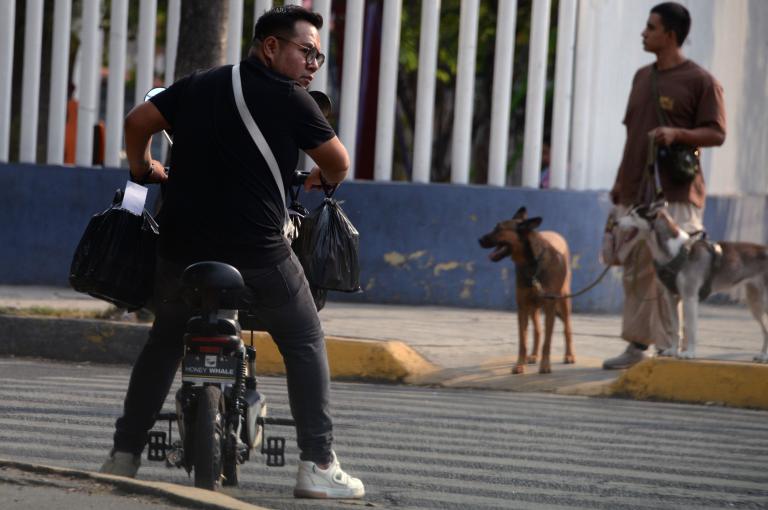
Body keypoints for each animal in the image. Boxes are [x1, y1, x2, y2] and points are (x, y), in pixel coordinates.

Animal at [476, 207, 572, 374]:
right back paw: (533, 355)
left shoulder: (550, 307)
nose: (479, 239)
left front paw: (545, 365)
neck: (532, 263)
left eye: (498, 228)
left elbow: (548, 341)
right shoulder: (522, 307)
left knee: (567, 329)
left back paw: (569, 355)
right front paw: (520, 364)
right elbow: (523, 340)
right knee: (538, 331)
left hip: (564, 301)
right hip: (532, 307)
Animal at [616, 201, 768, 360]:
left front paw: (689, 353)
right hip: (755, 302)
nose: (616, 222)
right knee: (766, 330)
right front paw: (672, 350)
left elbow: (690, 329)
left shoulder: (690, 298)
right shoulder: (671, 298)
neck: (675, 252)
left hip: (763, 302)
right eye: (630, 212)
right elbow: (675, 328)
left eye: (633, 215)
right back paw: (763, 356)